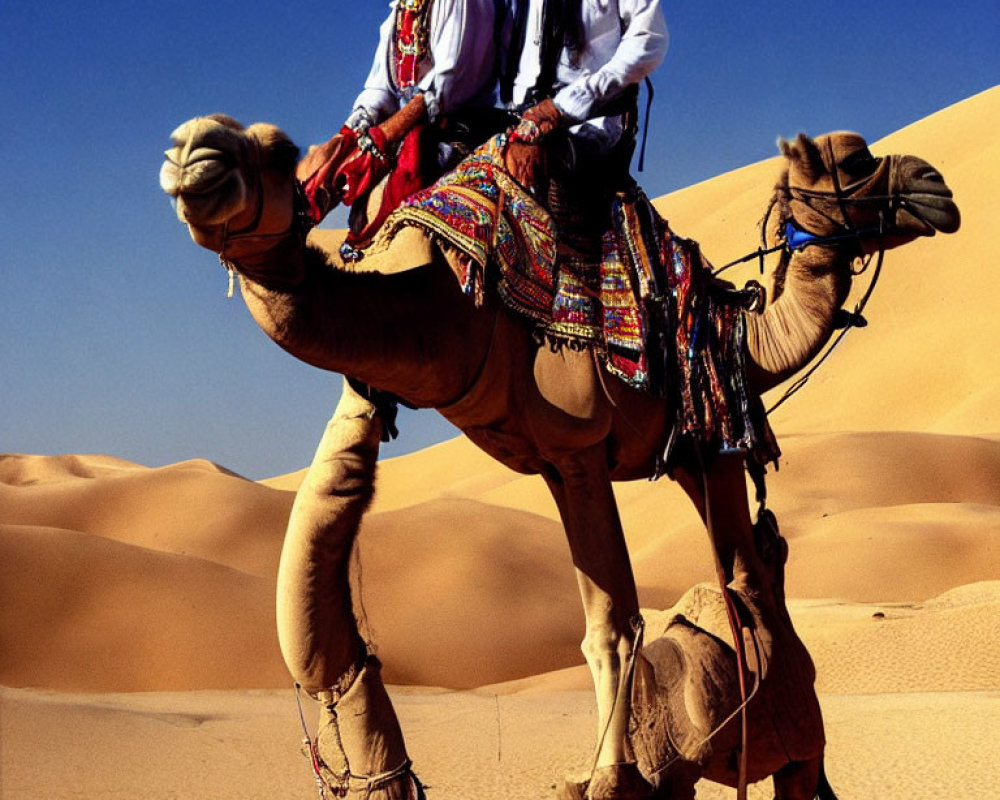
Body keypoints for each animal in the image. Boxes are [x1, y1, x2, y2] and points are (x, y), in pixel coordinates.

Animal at [160, 114, 956, 800]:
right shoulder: (572, 456)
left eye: (279, 151)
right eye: (855, 162)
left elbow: (620, 622)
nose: (935, 185)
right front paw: (611, 770)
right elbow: (615, 621)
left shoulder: (609, 447)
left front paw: (610, 774)